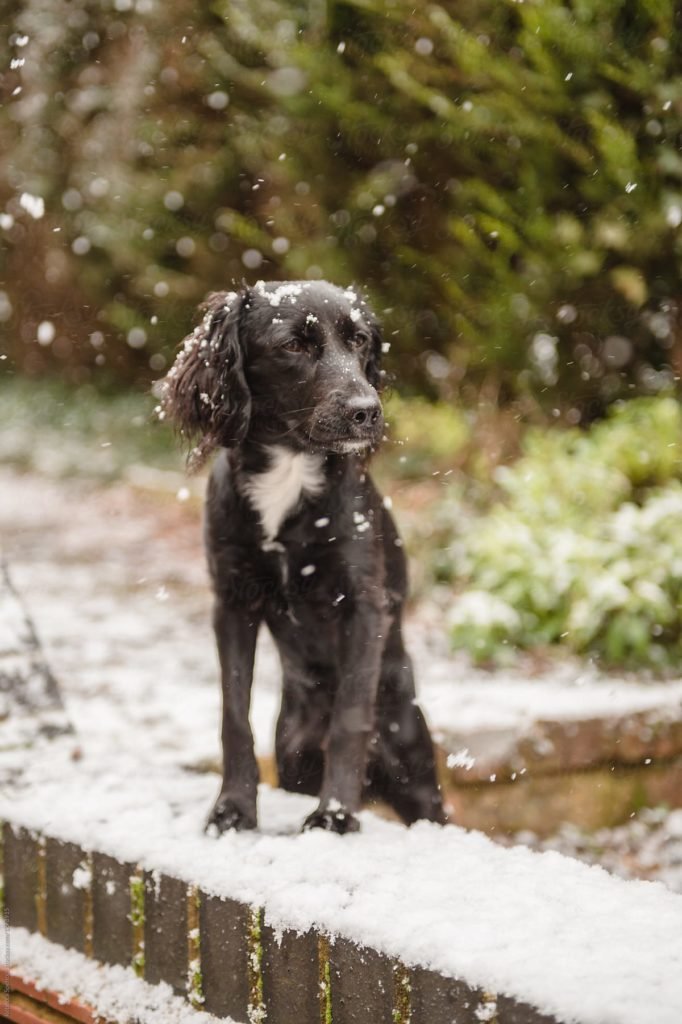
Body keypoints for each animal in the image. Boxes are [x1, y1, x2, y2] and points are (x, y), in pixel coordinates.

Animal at [159, 278, 446, 831]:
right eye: (293, 345)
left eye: (359, 340)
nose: (368, 411)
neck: (289, 471)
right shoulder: (232, 600)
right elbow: (234, 716)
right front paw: (233, 808)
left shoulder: (363, 603)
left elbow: (350, 718)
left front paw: (335, 816)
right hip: (293, 759)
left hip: (419, 777)